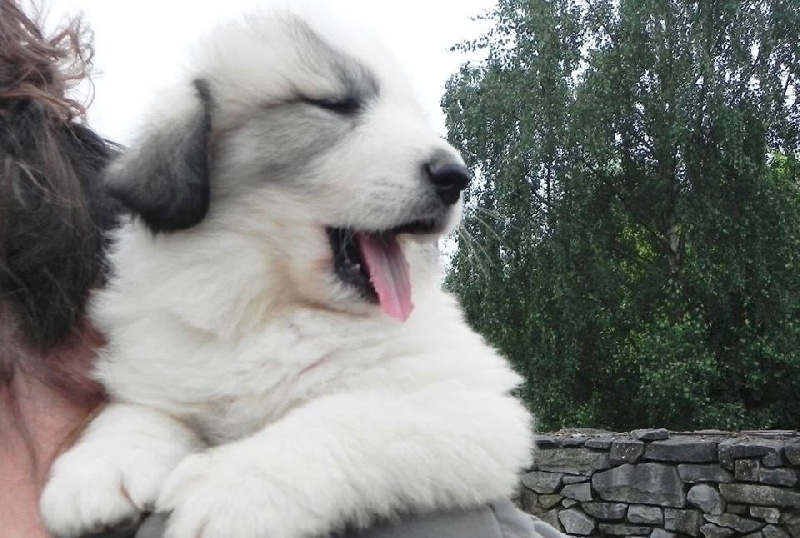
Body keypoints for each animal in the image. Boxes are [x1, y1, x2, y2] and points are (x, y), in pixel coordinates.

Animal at [40, 8, 533, 538]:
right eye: (335, 104)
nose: (456, 176)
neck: (275, 306)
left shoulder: (471, 400)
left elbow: (342, 415)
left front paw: (233, 488)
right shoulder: (164, 366)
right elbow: (138, 410)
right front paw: (101, 468)